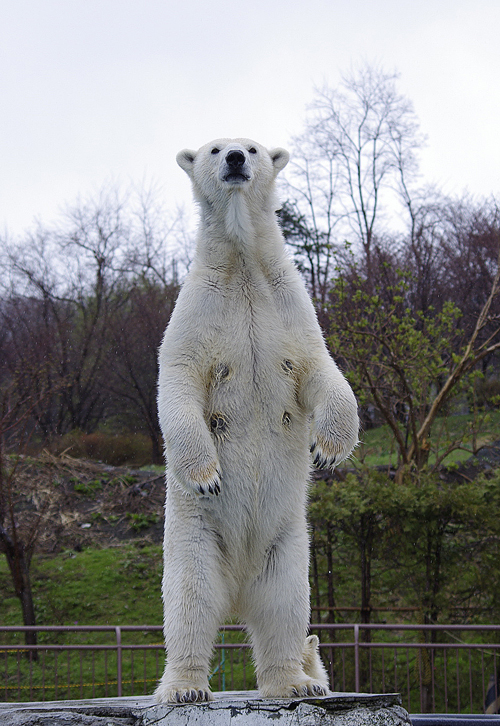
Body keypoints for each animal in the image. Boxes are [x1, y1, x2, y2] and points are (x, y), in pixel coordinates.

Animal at [154, 138, 358, 704]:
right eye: (213, 149)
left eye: (252, 147)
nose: (236, 160)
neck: (243, 264)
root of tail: (238, 589)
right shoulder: (197, 313)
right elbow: (177, 382)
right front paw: (207, 474)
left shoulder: (290, 308)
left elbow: (321, 369)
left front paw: (328, 450)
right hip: (195, 538)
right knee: (191, 601)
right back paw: (185, 687)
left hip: (286, 545)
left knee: (284, 606)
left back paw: (294, 682)